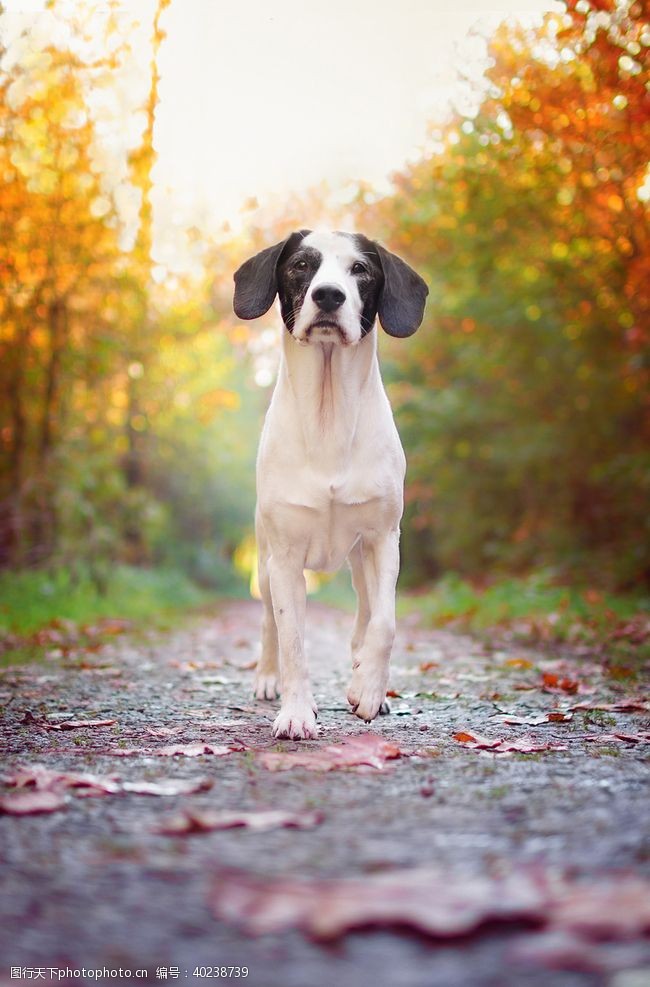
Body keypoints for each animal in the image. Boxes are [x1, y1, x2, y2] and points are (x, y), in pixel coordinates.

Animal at [232, 232, 426, 736]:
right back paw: (267, 680)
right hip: (264, 563)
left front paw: (368, 690)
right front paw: (297, 713)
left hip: (359, 563)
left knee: (365, 613)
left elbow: (385, 623)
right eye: (302, 265)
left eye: (361, 269)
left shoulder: (384, 540)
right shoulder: (284, 557)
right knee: (269, 626)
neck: (329, 414)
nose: (328, 296)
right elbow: (293, 640)